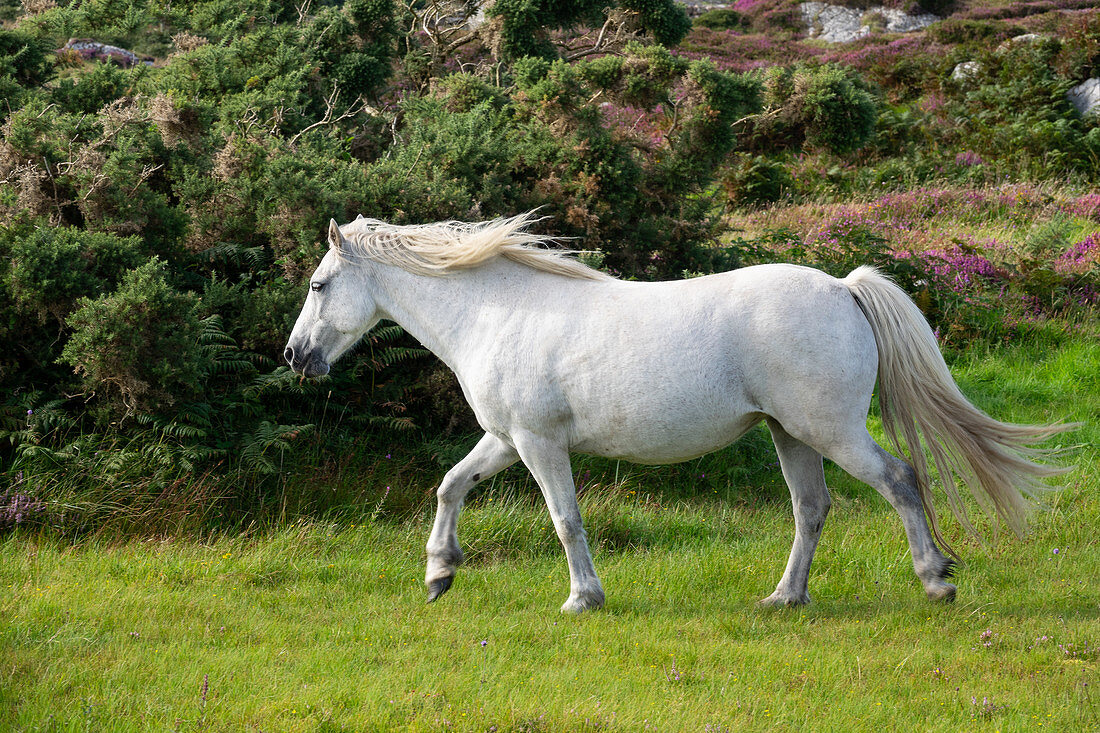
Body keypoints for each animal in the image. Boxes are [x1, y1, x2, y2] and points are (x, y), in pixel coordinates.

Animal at [286, 211, 1073, 611]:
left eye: (321, 285)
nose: (296, 357)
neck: (496, 312)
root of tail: (842, 288)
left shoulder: (539, 444)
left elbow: (565, 519)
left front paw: (583, 598)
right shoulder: (506, 439)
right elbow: (450, 486)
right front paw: (439, 574)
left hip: (832, 431)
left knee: (901, 480)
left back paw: (936, 578)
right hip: (791, 435)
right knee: (812, 509)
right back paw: (784, 598)